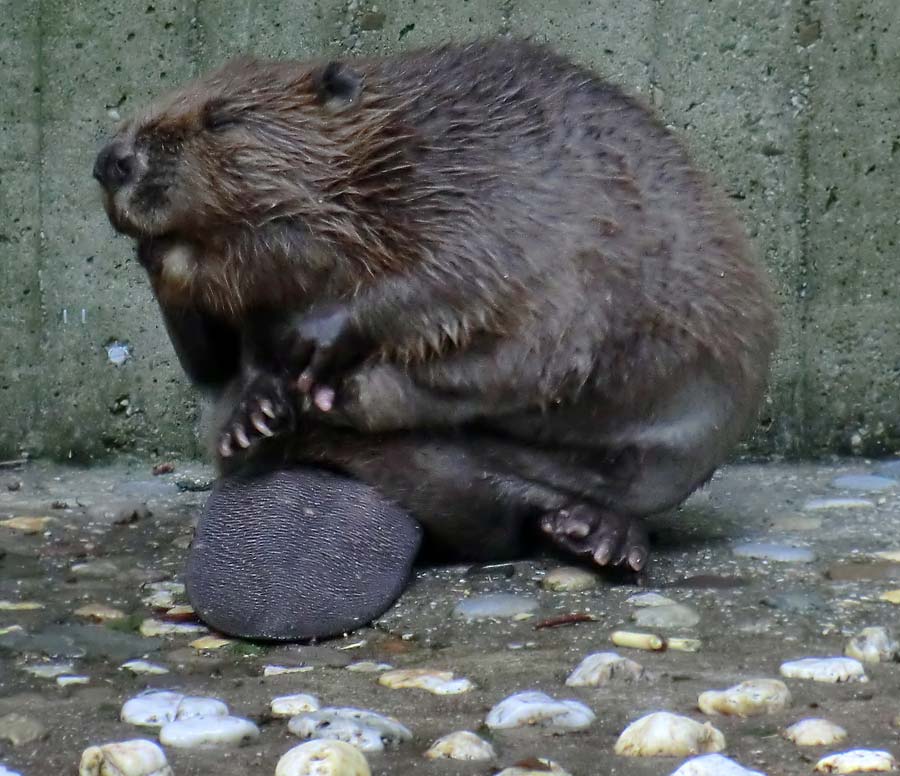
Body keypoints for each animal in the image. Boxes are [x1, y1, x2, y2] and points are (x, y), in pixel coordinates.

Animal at [95, 39, 776, 580]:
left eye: (223, 118)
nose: (110, 162)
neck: (391, 154)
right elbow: (220, 354)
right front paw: (255, 400)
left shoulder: (489, 190)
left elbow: (455, 279)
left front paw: (317, 342)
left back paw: (598, 535)